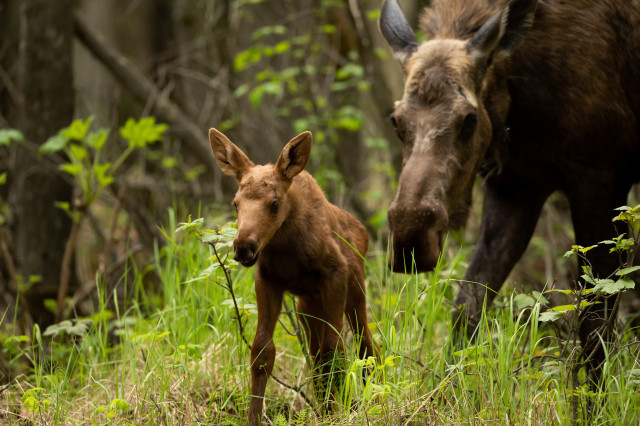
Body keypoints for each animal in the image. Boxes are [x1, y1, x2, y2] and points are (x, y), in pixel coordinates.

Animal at [208, 128, 379, 425]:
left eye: (274, 204)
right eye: (235, 203)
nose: (243, 246)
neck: (286, 247)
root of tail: (363, 231)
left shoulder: (335, 273)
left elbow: (334, 350)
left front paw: (338, 413)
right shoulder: (267, 280)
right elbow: (262, 352)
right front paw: (254, 418)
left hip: (355, 291)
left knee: (367, 347)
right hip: (307, 308)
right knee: (317, 354)